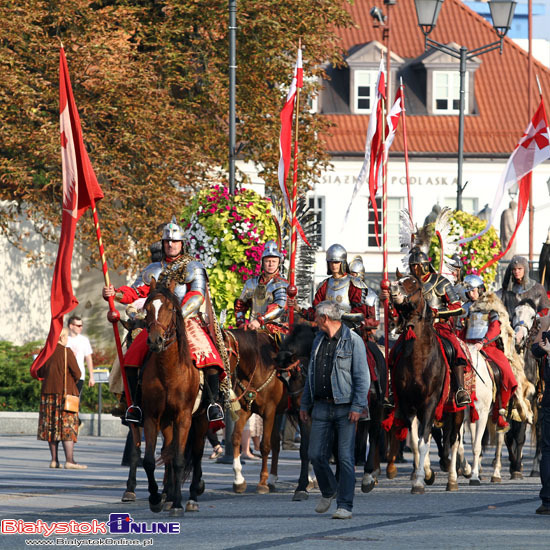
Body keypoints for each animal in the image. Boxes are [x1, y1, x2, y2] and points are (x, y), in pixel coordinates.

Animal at [224, 328, 288, 496]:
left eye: (226, 351)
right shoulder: (245, 410)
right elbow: (236, 438)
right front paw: (239, 480)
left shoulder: (269, 411)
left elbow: (265, 445)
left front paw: (262, 482)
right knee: (277, 443)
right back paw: (273, 479)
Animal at [388, 274, 466, 494]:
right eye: (399, 278)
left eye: (413, 283)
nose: (392, 287)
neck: (419, 358)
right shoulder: (409, 406)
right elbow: (417, 442)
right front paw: (425, 475)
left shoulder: (430, 403)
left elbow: (424, 442)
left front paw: (419, 482)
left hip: (457, 411)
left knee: (454, 440)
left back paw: (453, 479)